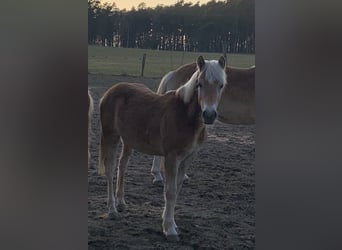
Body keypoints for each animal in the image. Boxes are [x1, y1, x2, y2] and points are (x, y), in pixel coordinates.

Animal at [98, 55, 227, 240]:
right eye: (199, 84)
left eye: (221, 85)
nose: (209, 115)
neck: (185, 116)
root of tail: (110, 91)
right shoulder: (171, 157)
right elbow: (170, 191)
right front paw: (169, 228)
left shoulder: (188, 158)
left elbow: (177, 188)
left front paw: (171, 222)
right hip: (111, 137)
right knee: (110, 169)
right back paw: (112, 210)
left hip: (128, 141)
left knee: (122, 166)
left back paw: (121, 202)